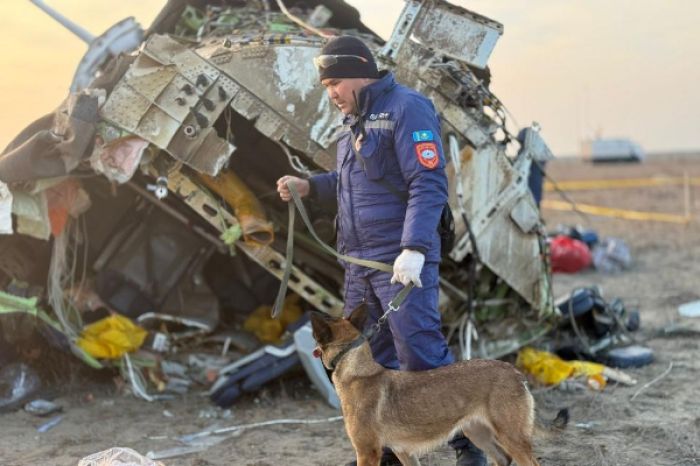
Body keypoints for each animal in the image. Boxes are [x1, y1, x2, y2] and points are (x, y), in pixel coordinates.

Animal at [312, 306, 568, 466]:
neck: (356, 367)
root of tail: (515, 372)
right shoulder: (403, 452)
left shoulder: (367, 453)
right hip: (478, 432)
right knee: (503, 458)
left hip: (510, 436)